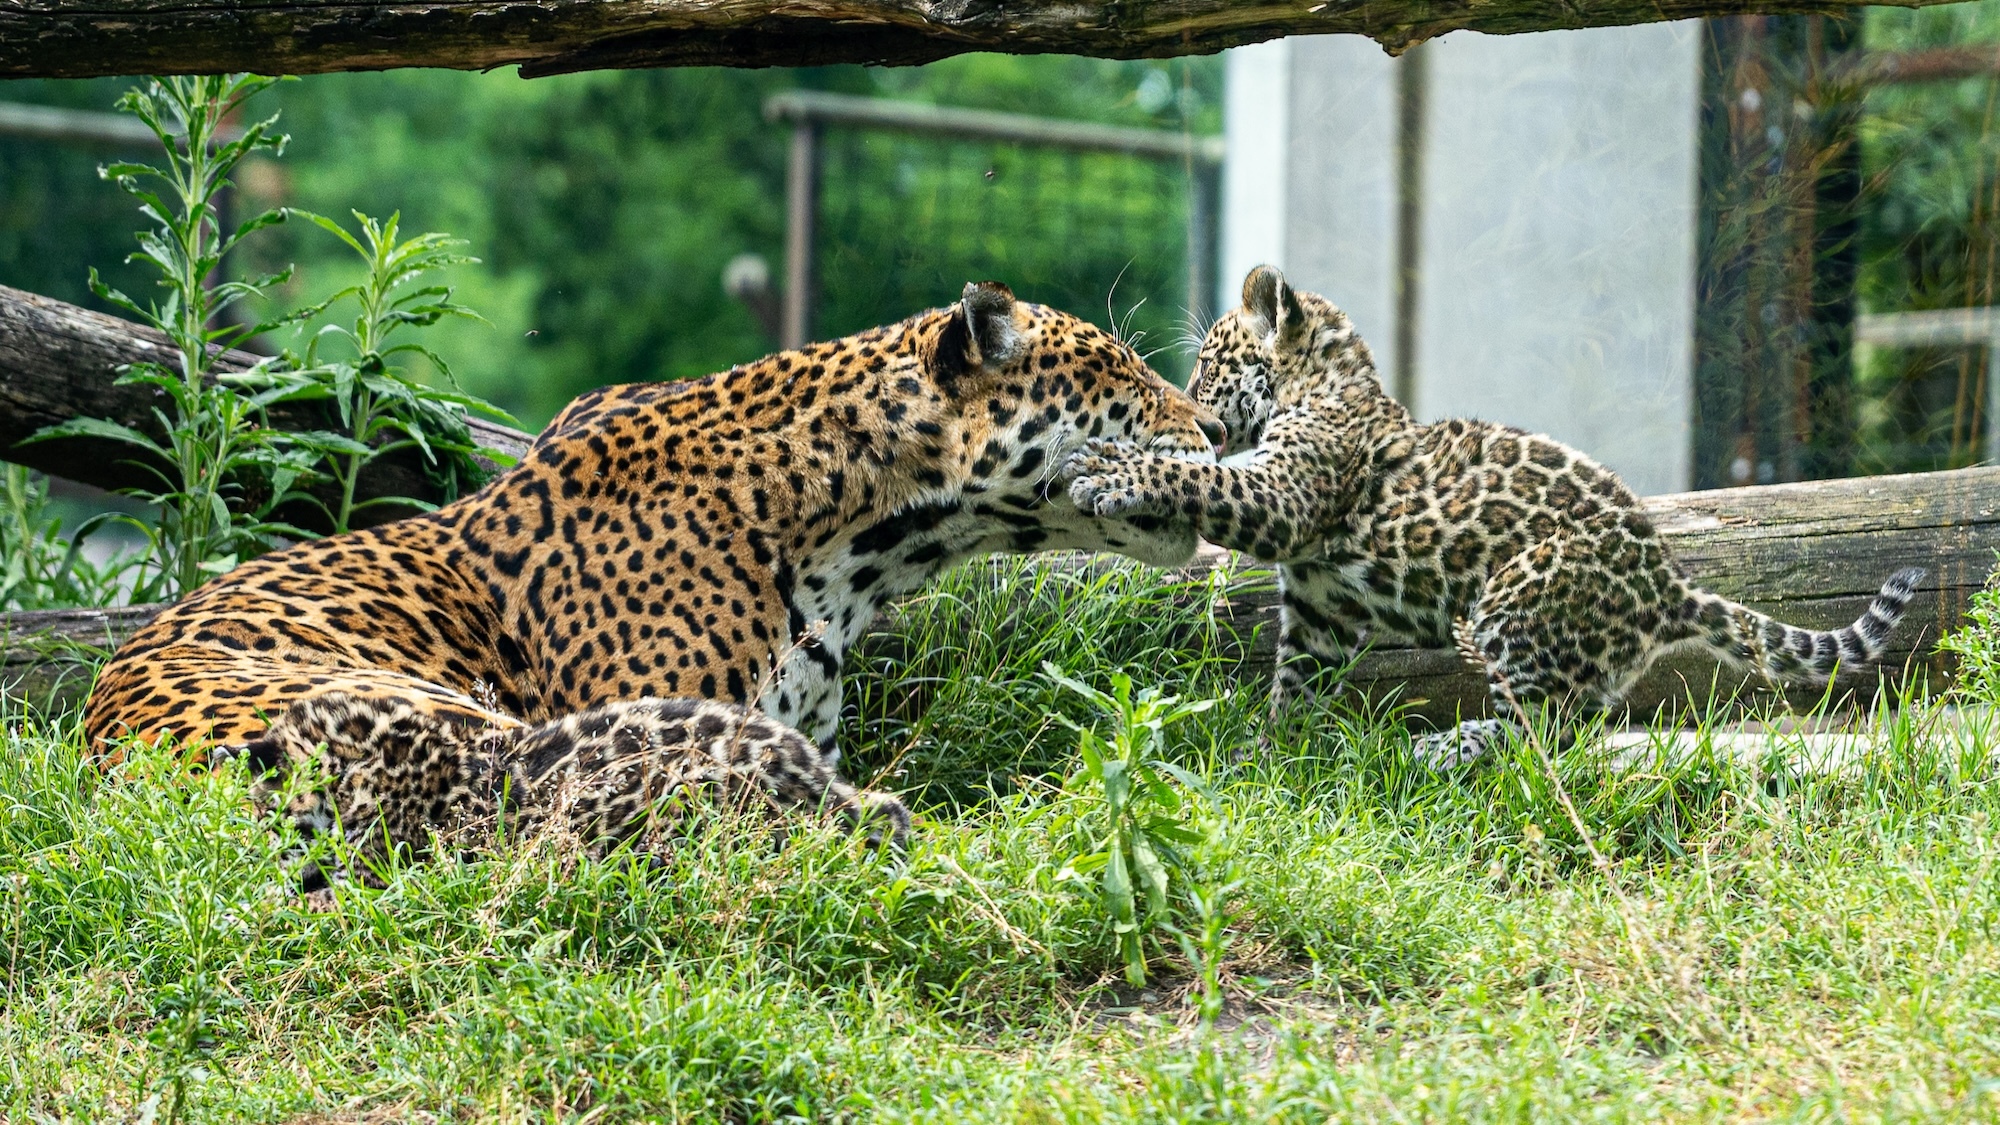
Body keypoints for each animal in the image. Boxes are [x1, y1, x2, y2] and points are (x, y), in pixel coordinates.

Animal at [1063, 265, 1926, 766]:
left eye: (1211, 363)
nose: (1198, 410)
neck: (1327, 383)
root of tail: (1670, 584)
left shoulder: (1285, 494)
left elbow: (1197, 477)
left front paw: (1107, 470)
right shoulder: (1321, 602)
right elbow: (1298, 674)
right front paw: (1275, 747)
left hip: (1514, 598)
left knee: (1544, 731)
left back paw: (1445, 749)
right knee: (1574, 723)